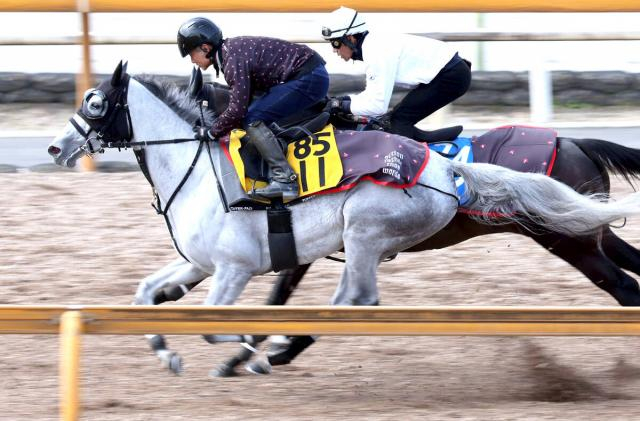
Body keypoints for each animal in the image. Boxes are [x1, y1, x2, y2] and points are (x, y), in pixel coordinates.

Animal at [48, 62, 640, 377]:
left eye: (96, 102)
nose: (57, 147)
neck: (208, 170)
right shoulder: (200, 264)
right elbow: (148, 294)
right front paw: (172, 354)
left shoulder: (239, 267)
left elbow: (231, 319)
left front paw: (246, 354)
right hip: (582, 231)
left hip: (539, 240)